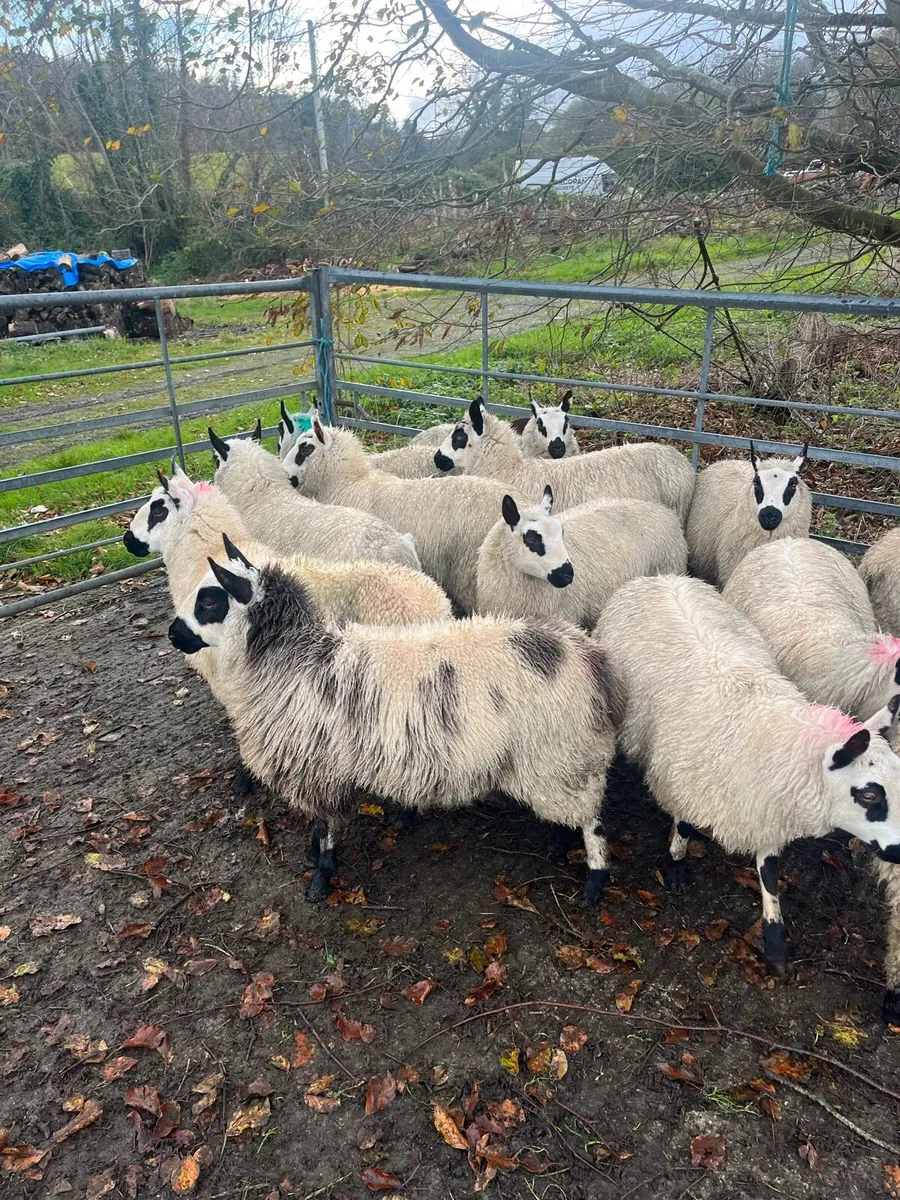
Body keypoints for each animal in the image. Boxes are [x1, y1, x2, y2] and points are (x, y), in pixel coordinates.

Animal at [168, 533, 624, 906]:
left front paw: (321, 877)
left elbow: (326, 826)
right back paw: (557, 844)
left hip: (565, 754)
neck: (296, 660)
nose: (173, 634)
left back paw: (594, 884)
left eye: (211, 600)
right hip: (555, 762)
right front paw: (315, 857)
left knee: (595, 823)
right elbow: (320, 825)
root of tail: (588, 654)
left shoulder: (318, 765)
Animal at [595, 573, 900, 1014]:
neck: (764, 734)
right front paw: (675, 864)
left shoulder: (763, 809)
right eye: (869, 796)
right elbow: (683, 825)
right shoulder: (685, 778)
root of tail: (660, 578)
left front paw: (775, 946)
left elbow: (769, 875)